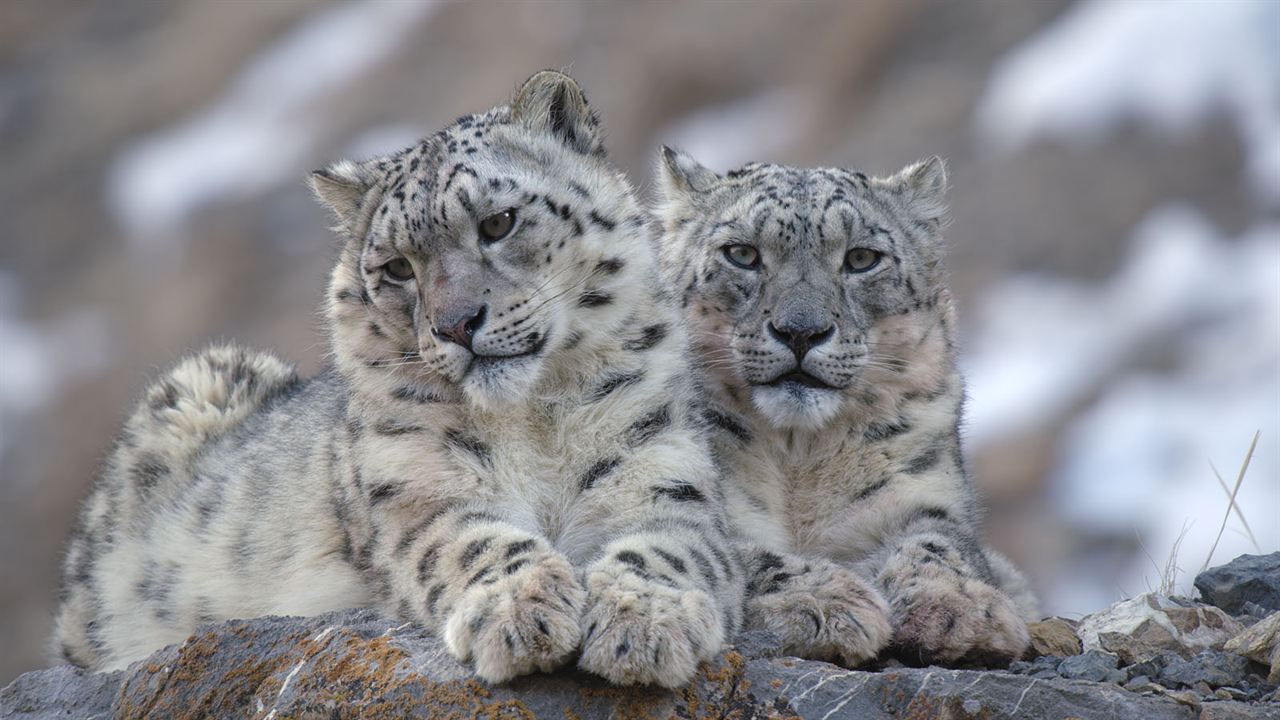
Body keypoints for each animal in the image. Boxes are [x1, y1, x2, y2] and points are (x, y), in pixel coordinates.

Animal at [55, 71, 747, 681]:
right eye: (395, 268)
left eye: (498, 222)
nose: (456, 324)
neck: (537, 422)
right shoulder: (419, 492)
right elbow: (475, 542)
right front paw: (520, 614)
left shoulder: (662, 466)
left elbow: (665, 546)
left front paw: (643, 627)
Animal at [655, 148, 1034, 666]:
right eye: (742, 253)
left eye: (861, 258)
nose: (801, 331)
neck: (800, 458)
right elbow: (736, 553)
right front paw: (826, 601)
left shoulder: (922, 493)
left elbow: (940, 544)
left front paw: (961, 609)